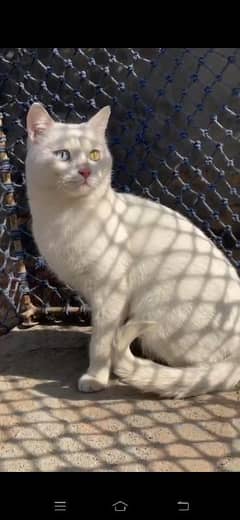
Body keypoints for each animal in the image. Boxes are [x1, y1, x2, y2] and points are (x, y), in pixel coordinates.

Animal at [24, 104, 240, 398]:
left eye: (94, 155)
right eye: (63, 155)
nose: (86, 172)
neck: (65, 215)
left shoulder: (111, 292)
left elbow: (101, 342)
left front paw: (96, 377)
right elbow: (101, 334)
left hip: (158, 316)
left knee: (202, 371)